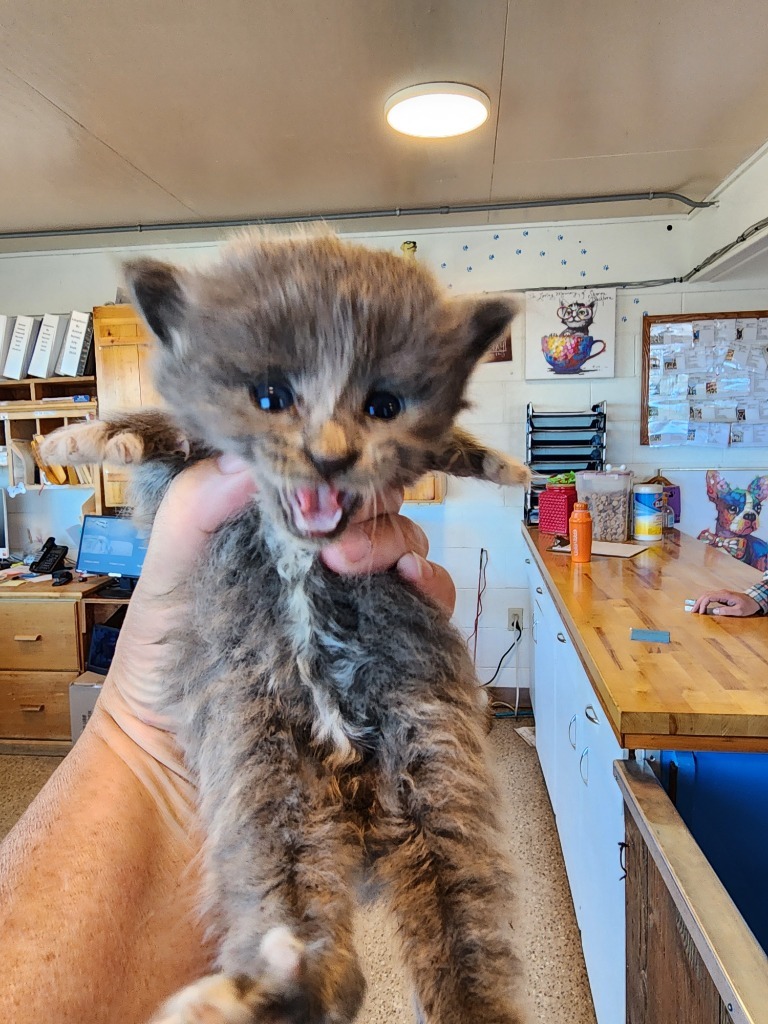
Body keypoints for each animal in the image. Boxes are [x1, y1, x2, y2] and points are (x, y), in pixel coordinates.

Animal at [41, 232, 532, 1024]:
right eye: (271, 398)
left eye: (383, 404)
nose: (330, 454)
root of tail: (362, 809)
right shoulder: (188, 467)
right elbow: (166, 428)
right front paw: (84, 439)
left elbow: (443, 446)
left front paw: (500, 461)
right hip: (269, 782)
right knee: (314, 934)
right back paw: (261, 990)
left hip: (434, 754)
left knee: (462, 926)